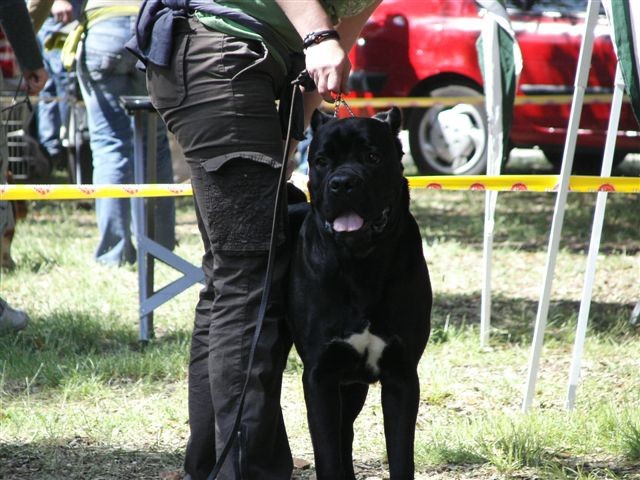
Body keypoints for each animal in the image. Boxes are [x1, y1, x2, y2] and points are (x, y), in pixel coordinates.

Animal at [288, 107, 432, 478]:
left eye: (372, 157)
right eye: (321, 161)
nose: (343, 183)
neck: (360, 264)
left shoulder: (401, 375)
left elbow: (401, 456)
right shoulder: (320, 376)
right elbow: (326, 454)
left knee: (346, 432)